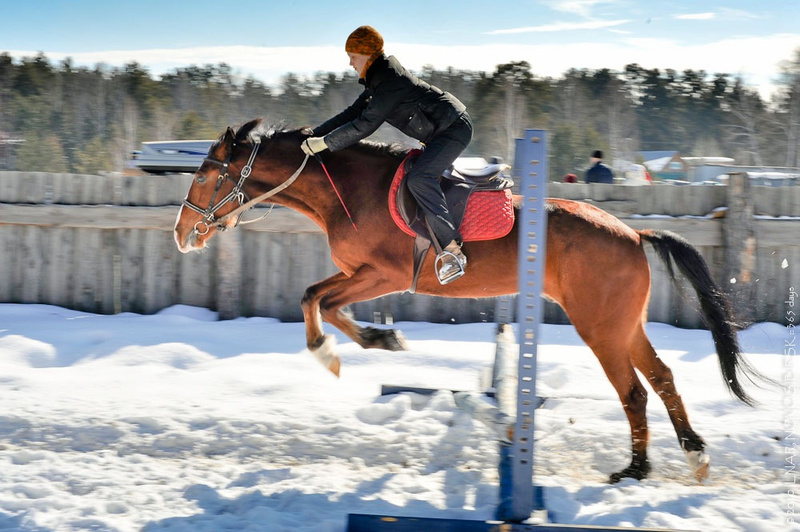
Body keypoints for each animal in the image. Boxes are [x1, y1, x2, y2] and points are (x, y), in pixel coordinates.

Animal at [174, 118, 764, 484]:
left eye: (203, 174)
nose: (182, 236)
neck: (347, 192)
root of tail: (635, 234)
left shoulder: (383, 274)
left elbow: (315, 299)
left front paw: (332, 353)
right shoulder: (361, 274)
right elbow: (324, 301)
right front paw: (382, 338)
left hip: (599, 327)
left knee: (634, 391)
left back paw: (636, 471)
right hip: (622, 324)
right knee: (660, 378)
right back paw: (691, 455)